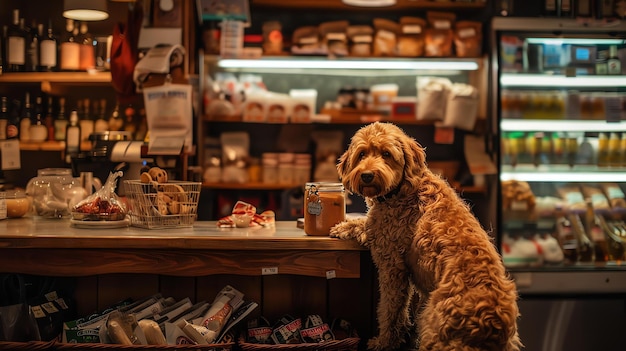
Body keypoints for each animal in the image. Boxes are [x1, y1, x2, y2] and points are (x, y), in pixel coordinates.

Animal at [330, 123, 520, 351]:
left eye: (386, 154)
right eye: (362, 154)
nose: (367, 175)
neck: (401, 190)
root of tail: (493, 323)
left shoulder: (391, 266)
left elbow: (390, 310)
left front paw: (384, 342)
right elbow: (363, 223)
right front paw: (343, 225)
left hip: (434, 327)